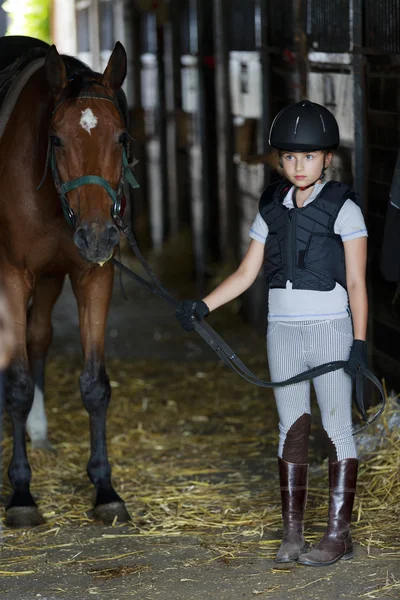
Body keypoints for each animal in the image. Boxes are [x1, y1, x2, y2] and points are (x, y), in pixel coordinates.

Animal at [0, 38, 138, 524]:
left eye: (121, 138)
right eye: (56, 139)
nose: (98, 236)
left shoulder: (90, 274)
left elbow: (95, 386)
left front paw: (105, 488)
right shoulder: (11, 275)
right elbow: (17, 384)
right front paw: (21, 493)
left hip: (48, 279)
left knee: (38, 337)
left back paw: (39, 432)